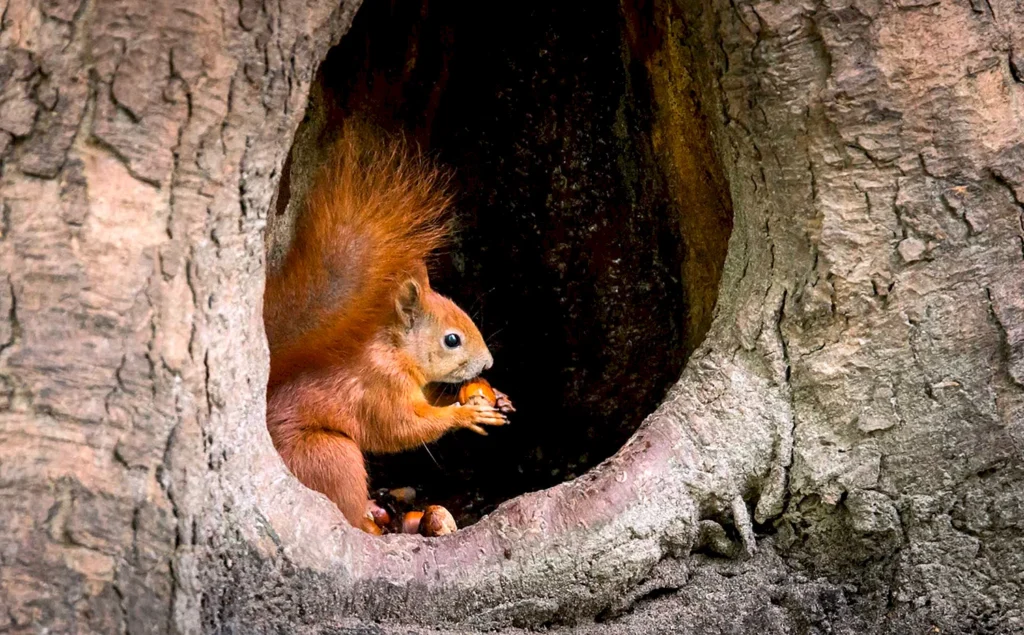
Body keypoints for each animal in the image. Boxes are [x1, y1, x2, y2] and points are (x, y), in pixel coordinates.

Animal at [262, 121, 505, 532]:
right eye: (451, 339)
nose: (487, 364)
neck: (396, 352)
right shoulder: (380, 388)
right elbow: (403, 428)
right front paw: (465, 415)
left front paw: (495, 397)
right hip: (331, 455)